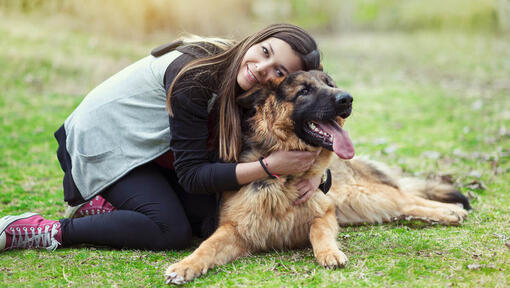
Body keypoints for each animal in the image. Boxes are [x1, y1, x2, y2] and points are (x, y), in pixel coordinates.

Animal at [164, 71, 470, 284]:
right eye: (304, 91)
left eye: (331, 84)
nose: (347, 98)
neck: (285, 180)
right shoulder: (236, 230)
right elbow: (206, 246)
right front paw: (185, 266)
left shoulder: (326, 213)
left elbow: (317, 230)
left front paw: (329, 253)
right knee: (403, 207)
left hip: (362, 195)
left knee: (407, 198)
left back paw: (450, 211)